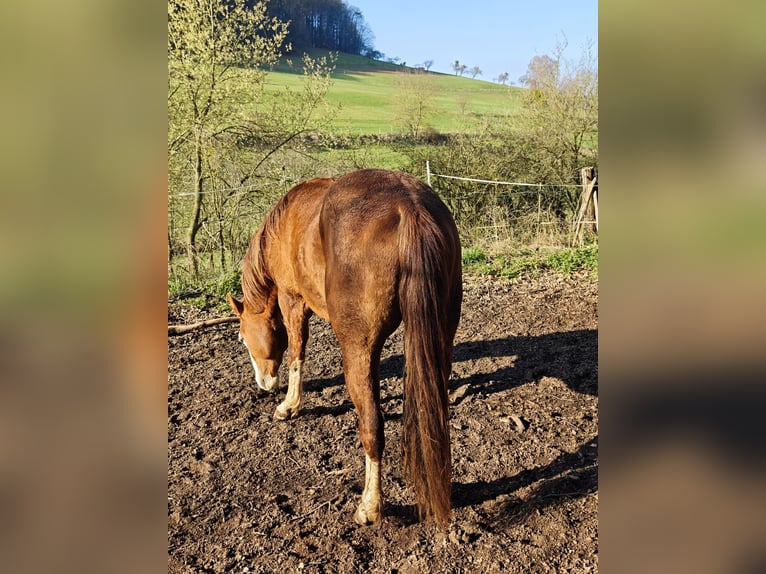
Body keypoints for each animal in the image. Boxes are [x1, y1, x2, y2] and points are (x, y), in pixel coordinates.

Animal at [227, 168, 462, 526]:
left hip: (359, 350)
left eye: (241, 338)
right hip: (441, 338)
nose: (264, 384)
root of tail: (409, 206)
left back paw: (370, 505)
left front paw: (289, 405)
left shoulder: (293, 301)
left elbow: (297, 352)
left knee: (372, 426)